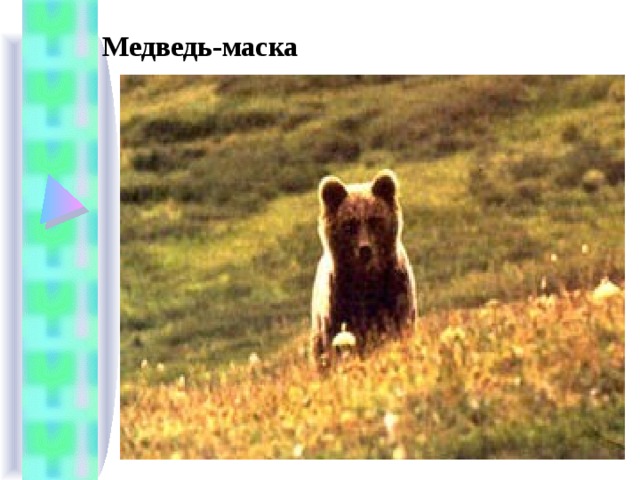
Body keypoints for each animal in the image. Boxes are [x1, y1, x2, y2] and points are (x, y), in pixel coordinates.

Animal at [310, 169, 418, 366]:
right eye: (349, 225)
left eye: (375, 220)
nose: (365, 249)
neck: (366, 279)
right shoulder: (340, 306)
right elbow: (340, 344)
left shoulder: (396, 294)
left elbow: (399, 330)